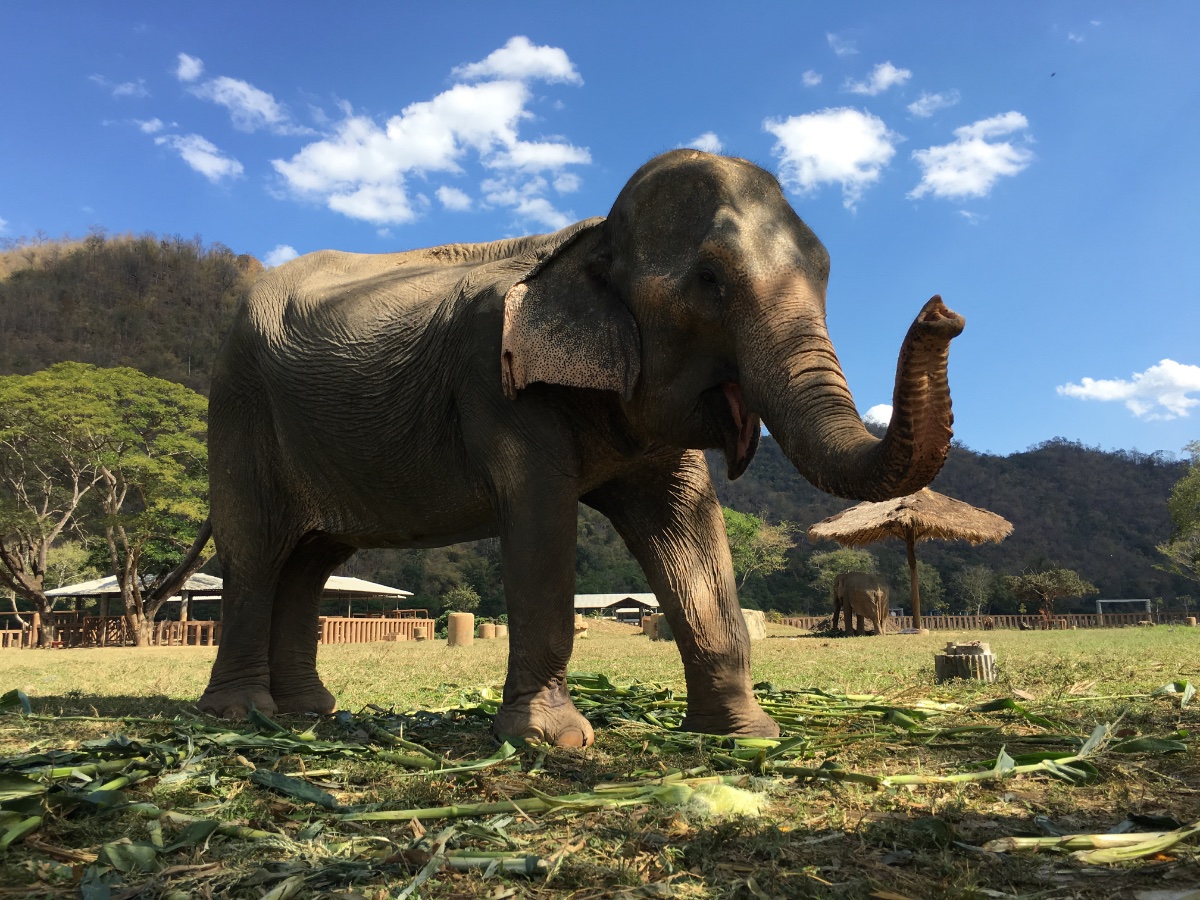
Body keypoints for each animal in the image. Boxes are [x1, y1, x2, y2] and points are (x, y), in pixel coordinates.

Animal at [197, 149, 964, 746]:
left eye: (826, 269)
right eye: (709, 280)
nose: (943, 312)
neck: (588, 240)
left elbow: (688, 526)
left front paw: (746, 736)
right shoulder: (497, 381)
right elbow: (541, 519)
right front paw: (552, 741)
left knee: (311, 561)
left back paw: (308, 715)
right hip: (239, 410)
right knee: (258, 553)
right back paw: (241, 715)